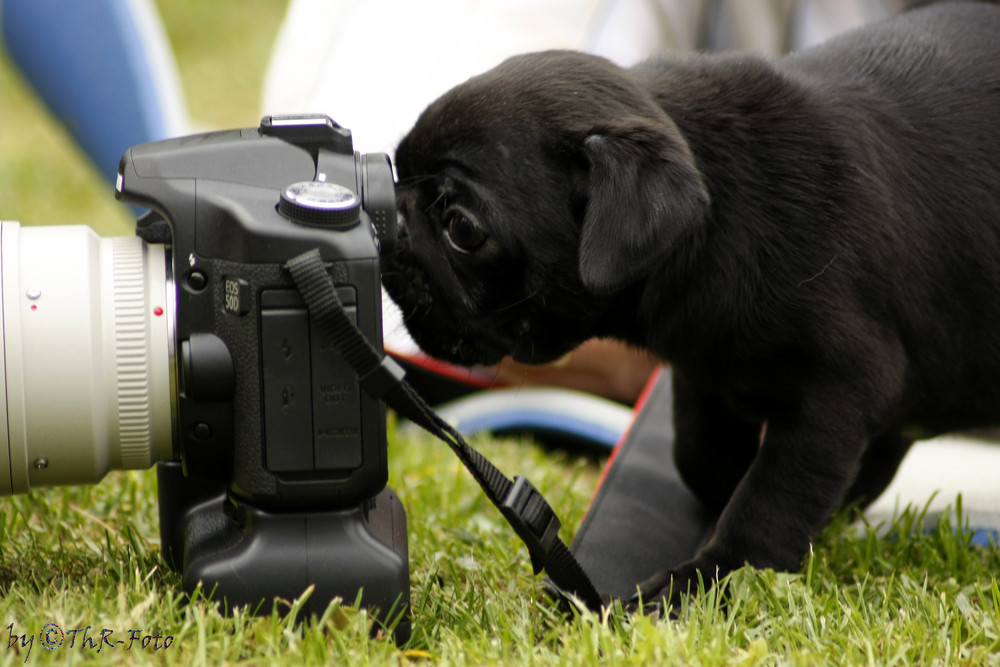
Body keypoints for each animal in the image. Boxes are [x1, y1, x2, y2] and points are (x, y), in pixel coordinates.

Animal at [380, 1, 1000, 604]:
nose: (391, 217)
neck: (724, 217)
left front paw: (712, 575)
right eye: (394, 168)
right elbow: (699, 454)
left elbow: (771, 499)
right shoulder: (705, 369)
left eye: (462, 228)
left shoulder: (836, 394)